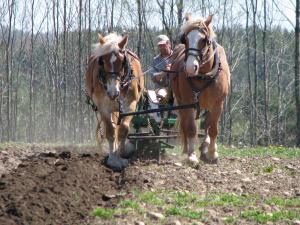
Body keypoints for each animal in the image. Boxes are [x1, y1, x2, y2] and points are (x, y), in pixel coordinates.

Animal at [85, 32, 144, 171]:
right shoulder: (103, 108)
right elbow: (111, 132)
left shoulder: (130, 105)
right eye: (102, 61)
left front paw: (122, 152)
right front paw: (114, 160)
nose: (113, 92)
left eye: (122, 61)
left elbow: (123, 129)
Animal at [171, 14, 230, 164]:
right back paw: (186, 150)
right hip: (182, 103)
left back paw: (205, 147)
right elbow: (191, 128)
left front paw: (212, 153)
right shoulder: (188, 103)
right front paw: (191, 156)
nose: (190, 68)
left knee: (208, 124)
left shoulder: (217, 104)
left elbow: (213, 128)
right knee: (185, 125)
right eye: (185, 39)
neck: (204, 75)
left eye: (204, 40)